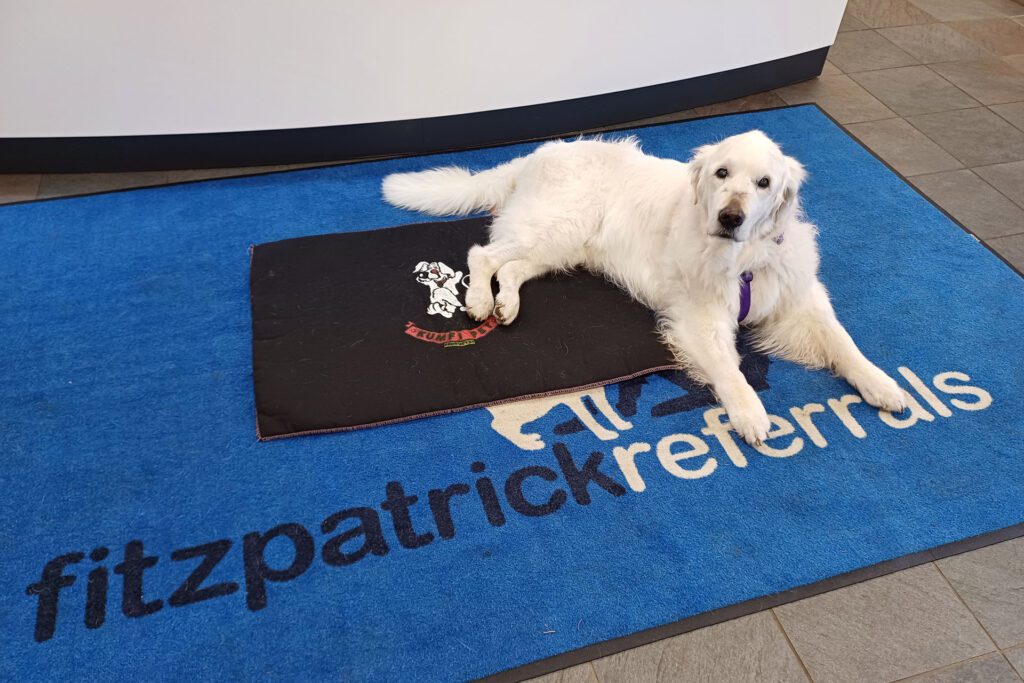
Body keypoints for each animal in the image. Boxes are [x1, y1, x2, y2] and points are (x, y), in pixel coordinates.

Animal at [382, 131, 905, 446]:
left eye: (763, 183)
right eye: (722, 174)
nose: (730, 217)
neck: (744, 260)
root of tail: (539, 152)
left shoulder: (799, 298)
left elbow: (843, 342)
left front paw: (881, 384)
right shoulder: (699, 318)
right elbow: (729, 368)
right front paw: (750, 413)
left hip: (562, 245)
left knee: (511, 269)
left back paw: (505, 304)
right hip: (557, 224)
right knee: (482, 255)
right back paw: (479, 301)